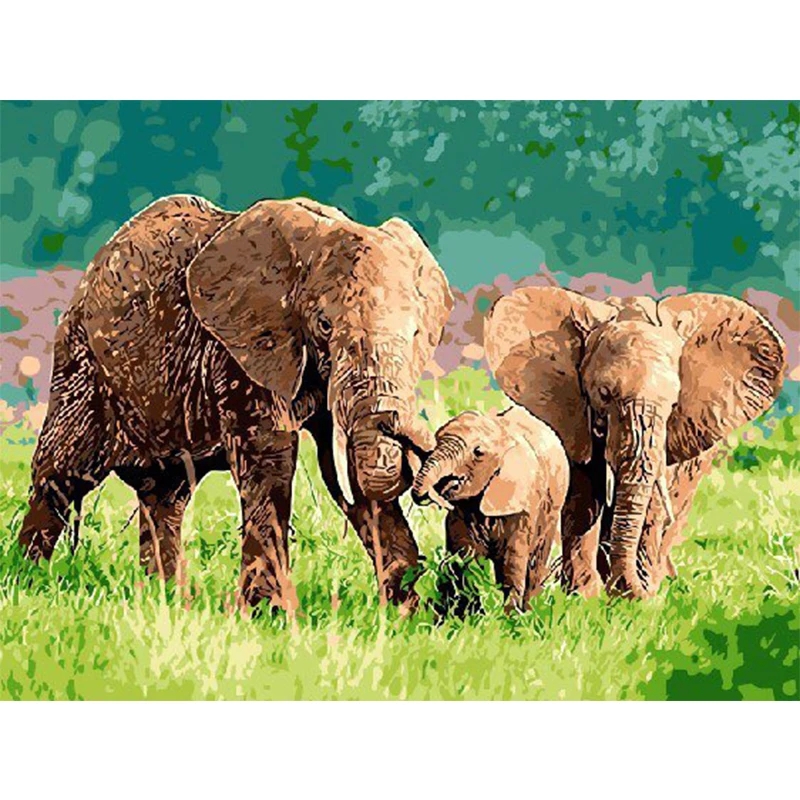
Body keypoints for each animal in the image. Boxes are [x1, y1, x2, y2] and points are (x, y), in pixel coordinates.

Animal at [18, 194, 453, 611]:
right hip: (81, 364)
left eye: (417, 333)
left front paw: (405, 612)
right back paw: (28, 580)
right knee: (60, 476)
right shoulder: (241, 350)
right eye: (324, 325)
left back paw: (166, 598)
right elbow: (271, 455)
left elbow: (353, 466)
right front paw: (268, 614)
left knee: (165, 494)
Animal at [411, 405, 569, 612]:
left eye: (478, 452)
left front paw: (510, 616)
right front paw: (471, 614)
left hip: (552, 513)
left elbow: (512, 559)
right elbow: (466, 558)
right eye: (436, 440)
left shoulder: (524, 502)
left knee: (536, 565)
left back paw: (530, 610)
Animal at [485, 287, 786, 599]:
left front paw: (643, 598)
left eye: (674, 403)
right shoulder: (571, 414)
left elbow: (653, 498)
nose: (628, 589)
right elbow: (585, 492)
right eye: (604, 393)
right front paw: (584, 595)